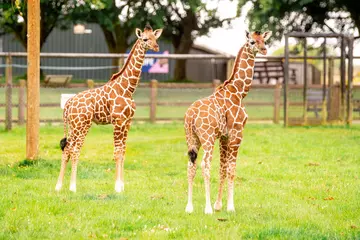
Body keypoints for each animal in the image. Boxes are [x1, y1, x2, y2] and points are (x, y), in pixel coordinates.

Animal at [55, 24, 163, 193]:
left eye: (155, 37)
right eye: (145, 39)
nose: (156, 47)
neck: (128, 88)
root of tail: (68, 104)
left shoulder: (127, 122)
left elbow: (123, 151)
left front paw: (122, 186)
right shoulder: (118, 121)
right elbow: (117, 153)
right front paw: (117, 187)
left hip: (73, 126)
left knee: (66, 149)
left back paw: (59, 186)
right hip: (82, 125)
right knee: (74, 149)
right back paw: (72, 187)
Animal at [184, 29, 272, 214]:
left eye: (264, 40)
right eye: (252, 42)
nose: (264, 49)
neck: (239, 91)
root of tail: (191, 116)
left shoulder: (224, 136)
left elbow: (223, 168)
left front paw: (219, 205)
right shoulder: (237, 133)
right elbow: (232, 169)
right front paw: (230, 207)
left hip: (192, 138)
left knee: (191, 164)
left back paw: (189, 207)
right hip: (207, 138)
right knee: (205, 164)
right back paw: (207, 209)